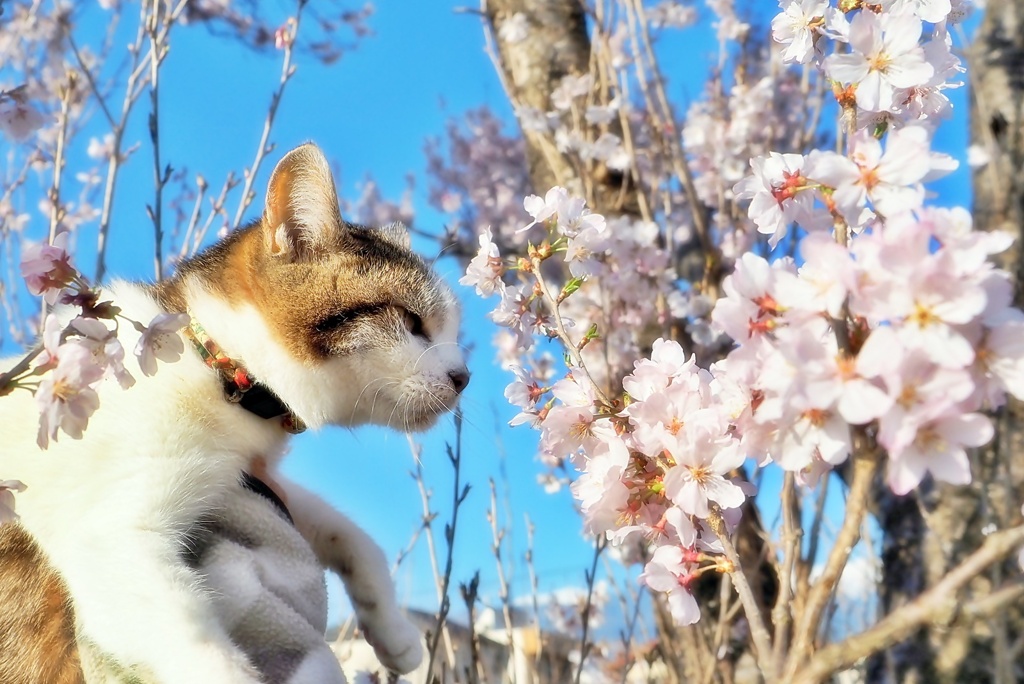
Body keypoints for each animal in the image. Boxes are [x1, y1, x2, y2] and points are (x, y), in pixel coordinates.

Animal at [0, 141, 468, 679]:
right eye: (412, 322)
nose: (464, 376)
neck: (216, 365)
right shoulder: (113, 541)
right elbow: (207, 656)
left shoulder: (244, 476)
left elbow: (348, 532)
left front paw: (392, 629)